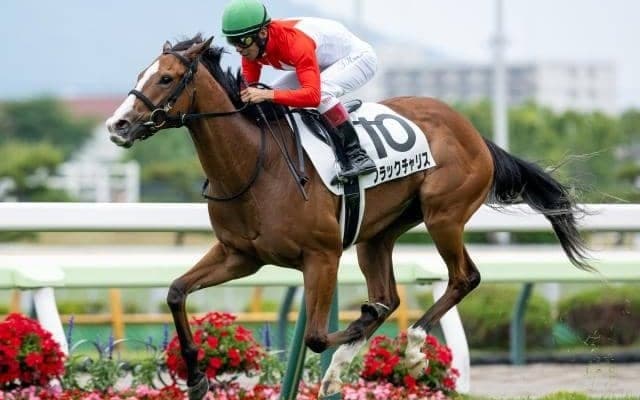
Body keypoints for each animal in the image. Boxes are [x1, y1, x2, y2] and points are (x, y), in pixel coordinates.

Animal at [106, 35, 591, 399]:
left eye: (166, 77)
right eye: (139, 74)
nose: (118, 125)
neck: (255, 164)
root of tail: (474, 132)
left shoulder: (321, 256)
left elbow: (317, 336)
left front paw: (362, 332)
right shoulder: (239, 256)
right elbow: (175, 292)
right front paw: (196, 378)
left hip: (444, 215)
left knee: (462, 278)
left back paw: (413, 348)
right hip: (376, 236)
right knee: (391, 295)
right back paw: (352, 359)